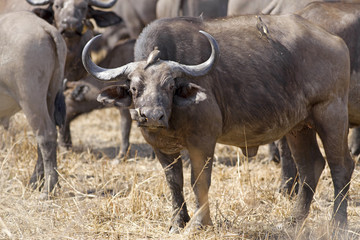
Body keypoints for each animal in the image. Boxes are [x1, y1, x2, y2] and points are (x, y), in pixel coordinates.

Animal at [0, 11, 66, 198]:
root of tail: (44, 26)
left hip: (31, 99)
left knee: (46, 134)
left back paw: (48, 188)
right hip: (48, 98)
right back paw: (36, 182)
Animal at [82, 15, 354, 231]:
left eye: (169, 85)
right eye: (135, 88)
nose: (151, 116)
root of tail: (337, 42)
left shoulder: (203, 141)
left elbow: (199, 181)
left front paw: (200, 223)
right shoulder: (160, 147)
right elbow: (174, 182)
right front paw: (178, 222)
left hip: (331, 113)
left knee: (341, 166)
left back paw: (338, 224)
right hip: (299, 127)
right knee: (311, 166)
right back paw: (292, 222)